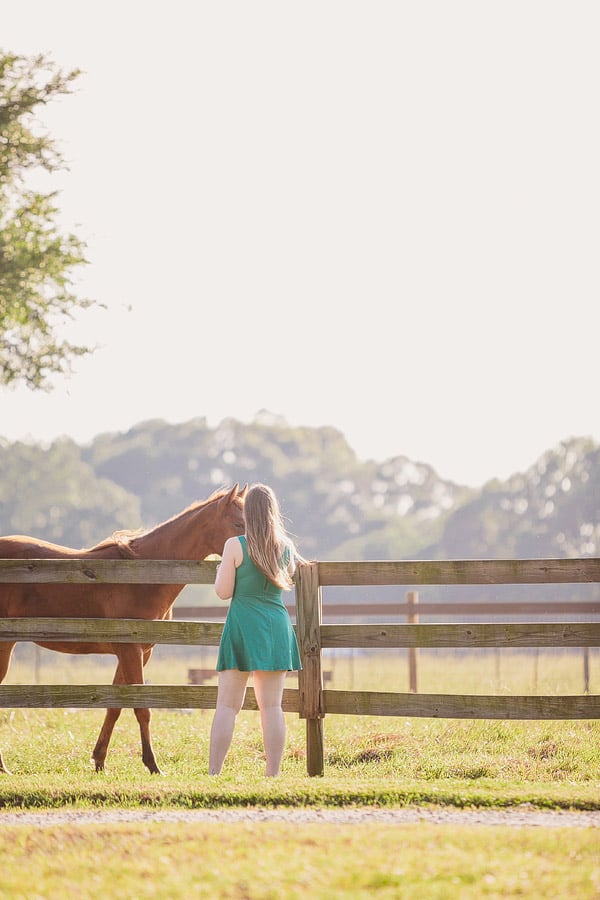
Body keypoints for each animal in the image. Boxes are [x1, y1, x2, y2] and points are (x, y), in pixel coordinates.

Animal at [0, 486, 248, 772]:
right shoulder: (131, 651)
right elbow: (141, 708)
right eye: (238, 523)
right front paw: (152, 765)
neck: (144, 573)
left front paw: (99, 760)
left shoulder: (135, 652)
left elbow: (115, 706)